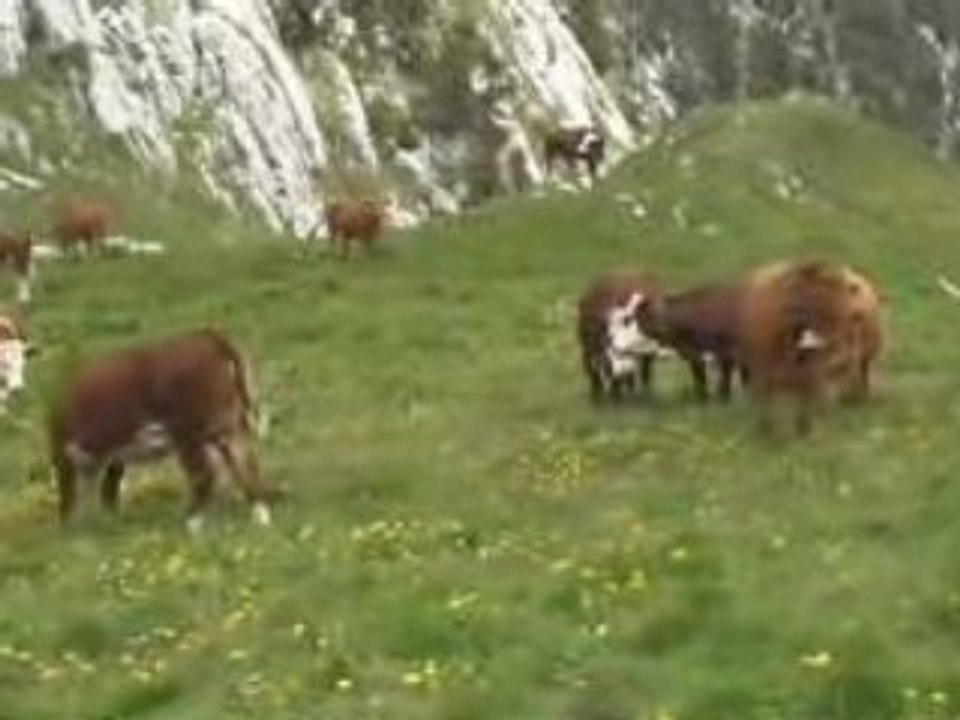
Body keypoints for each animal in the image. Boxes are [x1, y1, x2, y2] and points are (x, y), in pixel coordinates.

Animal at [48, 329, 277, 531]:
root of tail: (207, 335)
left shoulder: (65, 454)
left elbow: (70, 493)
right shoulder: (114, 457)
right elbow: (108, 490)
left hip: (188, 432)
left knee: (204, 475)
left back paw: (192, 522)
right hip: (228, 428)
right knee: (247, 464)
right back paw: (261, 516)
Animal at [737, 259, 883, 435]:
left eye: (853, 316)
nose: (839, 354)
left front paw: (804, 430)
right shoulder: (765, 372)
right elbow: (766, 406)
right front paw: (767, 431)